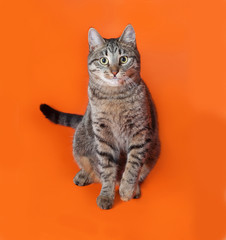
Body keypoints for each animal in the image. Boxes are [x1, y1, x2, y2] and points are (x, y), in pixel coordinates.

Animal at [40, 23, 161, 209]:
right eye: (104, 60)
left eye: (123, 59)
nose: (114, 71)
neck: (114, 96)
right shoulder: (103, 134)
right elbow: (106, 168)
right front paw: (106, 195)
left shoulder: (139, 132)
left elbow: (133, 165)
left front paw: (126, 190)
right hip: (80, 139)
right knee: (92, 168)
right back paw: (83, 175)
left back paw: (134, 189)